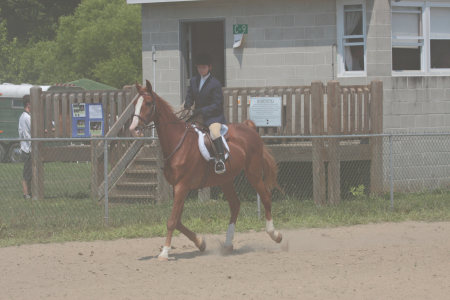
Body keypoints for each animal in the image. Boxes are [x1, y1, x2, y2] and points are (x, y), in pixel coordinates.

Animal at [129, 80, 282, 260]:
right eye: (135, 104)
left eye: (148, 103)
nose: (133, 128)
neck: (177, 142)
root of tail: (249, 128)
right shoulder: (178, 188)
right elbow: (178, 220)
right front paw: (200, 242)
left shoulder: (182, 186)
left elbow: (172, 221)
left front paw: (165, 252)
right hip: (225, 180)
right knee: (235, 205)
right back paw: (228, 244)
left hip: (253, 173)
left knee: (265, 197)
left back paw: (275, 235)